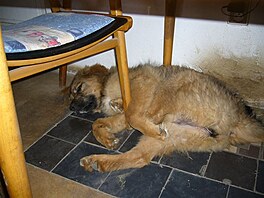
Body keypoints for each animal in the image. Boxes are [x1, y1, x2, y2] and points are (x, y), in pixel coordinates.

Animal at [68, 63, 264, 172]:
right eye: (71, 95)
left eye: (78, 88)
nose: (71, 108)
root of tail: (239, 120)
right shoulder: (124, 116)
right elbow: (98, 123)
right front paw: (107, 139)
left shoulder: (143, 84)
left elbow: (131, 115)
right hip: (176, 134)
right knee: (138, 158)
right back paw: (96, 162)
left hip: (179, 85)